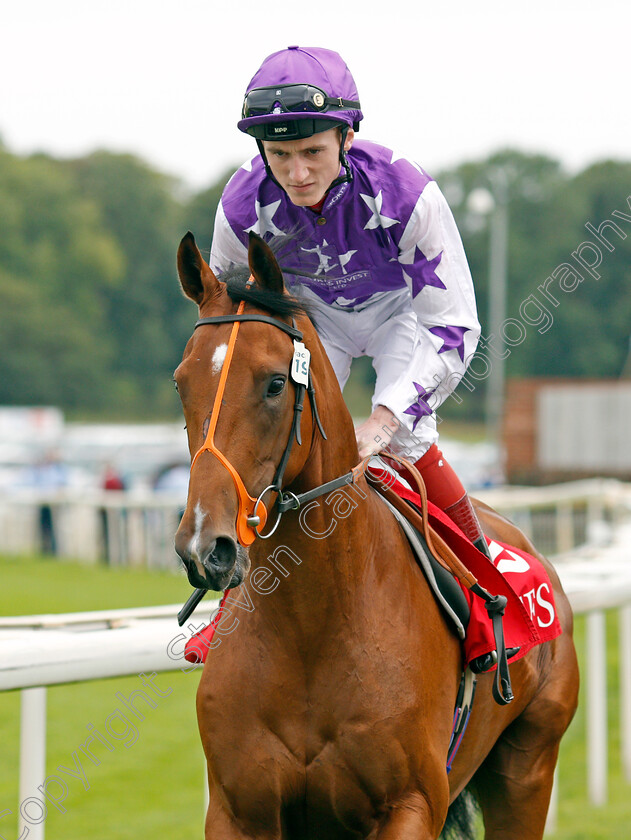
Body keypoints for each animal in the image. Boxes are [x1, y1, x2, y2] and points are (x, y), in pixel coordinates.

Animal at [175, 230, 580, 840]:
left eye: (275, 383)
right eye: (181, 382)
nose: (205, 545)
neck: (313, 627)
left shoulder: (410, 804)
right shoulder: (238, 811)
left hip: (528, 767)